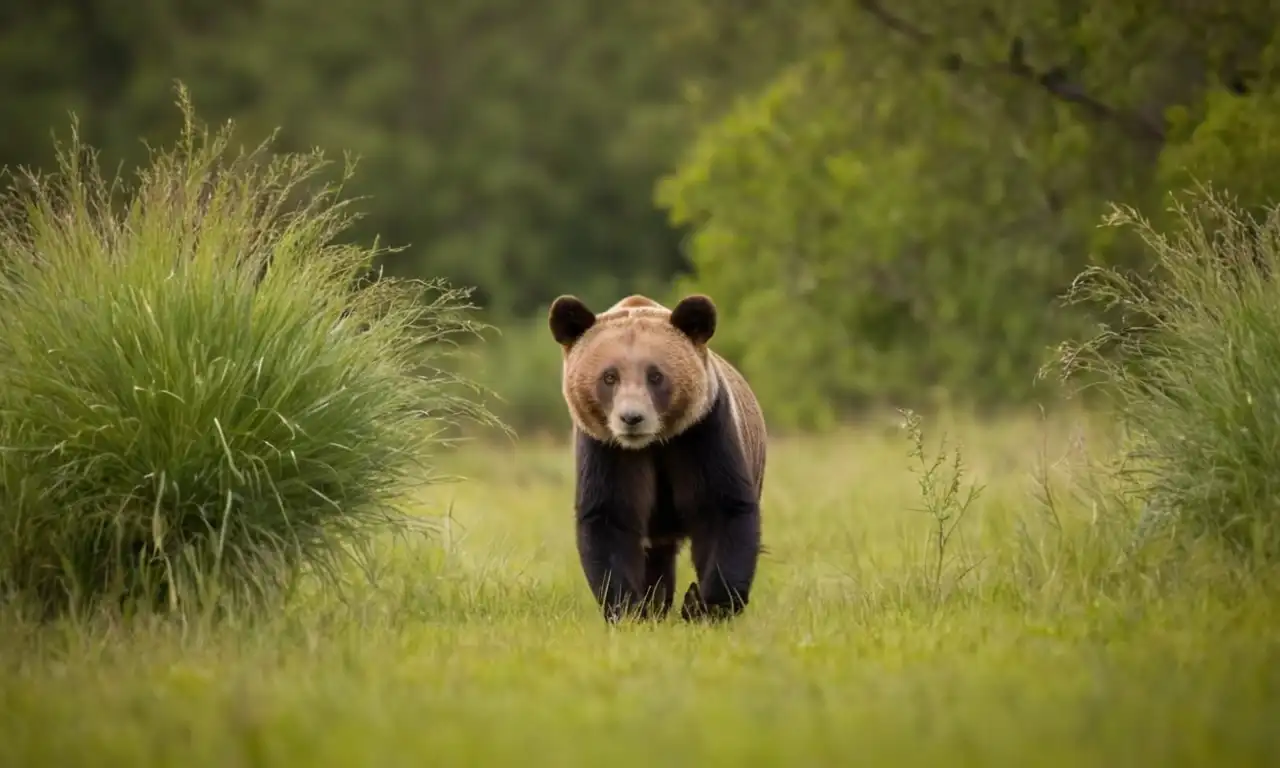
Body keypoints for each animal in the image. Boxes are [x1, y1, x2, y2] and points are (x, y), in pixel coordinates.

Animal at [545, 290, 762, 622]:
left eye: (655, 376)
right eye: (609, 377)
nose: (632, 418)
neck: (652, 443)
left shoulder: (702, 431)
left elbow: (722, 509)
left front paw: (709, 606)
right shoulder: (606, 448)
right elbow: (611, 518)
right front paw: (628, 609)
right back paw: (655, 604)